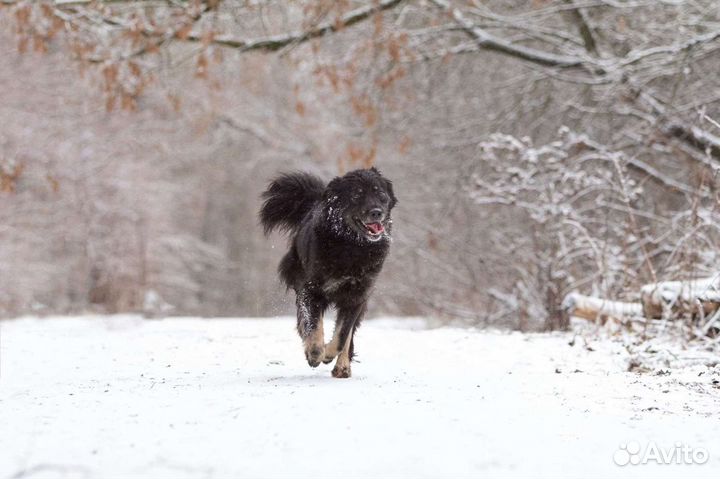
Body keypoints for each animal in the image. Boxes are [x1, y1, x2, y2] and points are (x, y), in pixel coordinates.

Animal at [258, 168, 396, 378]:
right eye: (356, 195)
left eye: (380, 193)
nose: (377, 212)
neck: (352, 245)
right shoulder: (311, 289)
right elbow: (314, 325)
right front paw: (315, 353)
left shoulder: (357, 296)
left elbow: (342, 335)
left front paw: (329, 354)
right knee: (306, 320)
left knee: (348, 336)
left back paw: (342, 367)